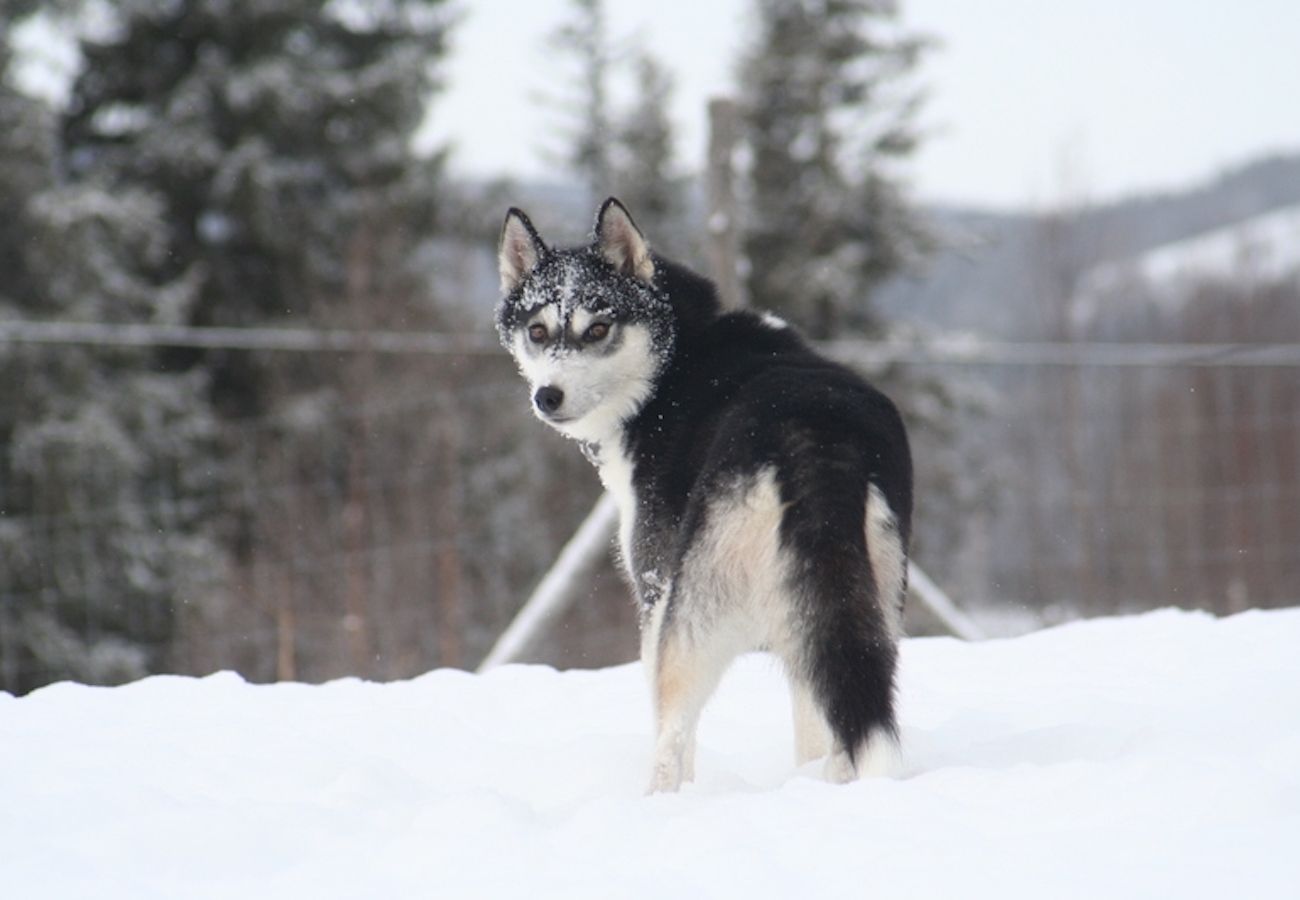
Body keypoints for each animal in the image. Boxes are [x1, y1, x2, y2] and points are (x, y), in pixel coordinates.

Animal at [496, 200, 915, 790]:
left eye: (598, 328)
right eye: (537, 330)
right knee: (838, 727)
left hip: (695, 617)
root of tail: (813, 432)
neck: (673, 359)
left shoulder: (654, 591)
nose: (547, 396)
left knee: (673, 735)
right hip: (854, 610)